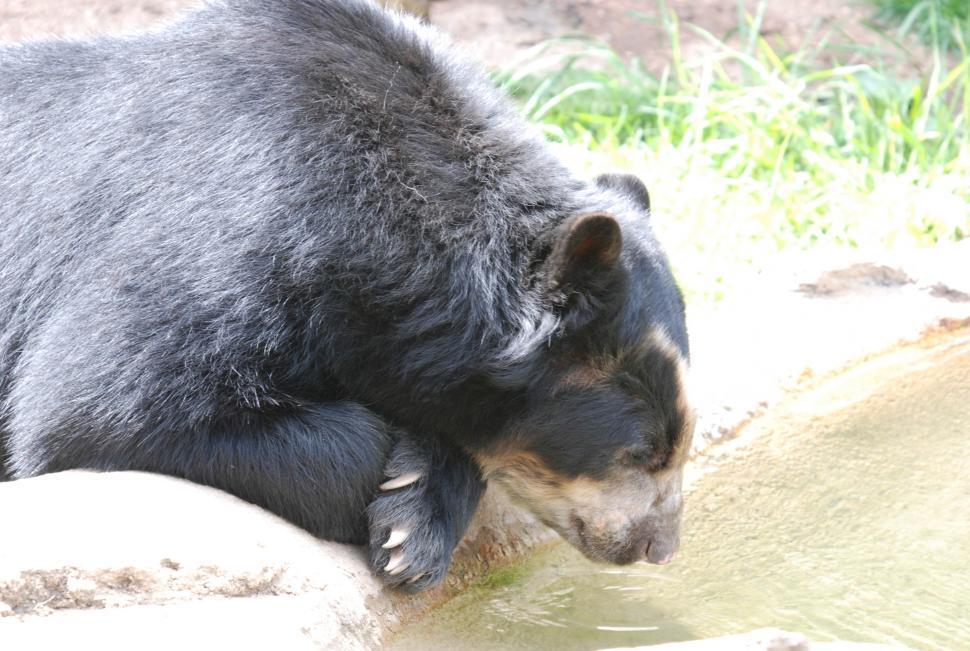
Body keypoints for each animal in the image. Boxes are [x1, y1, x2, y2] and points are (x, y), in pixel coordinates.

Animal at [0, 0, 694, 592]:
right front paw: (398, 498)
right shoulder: (232, 236)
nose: (657, 546)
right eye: (642, 453)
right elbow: (101, 400)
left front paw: (414, 525)